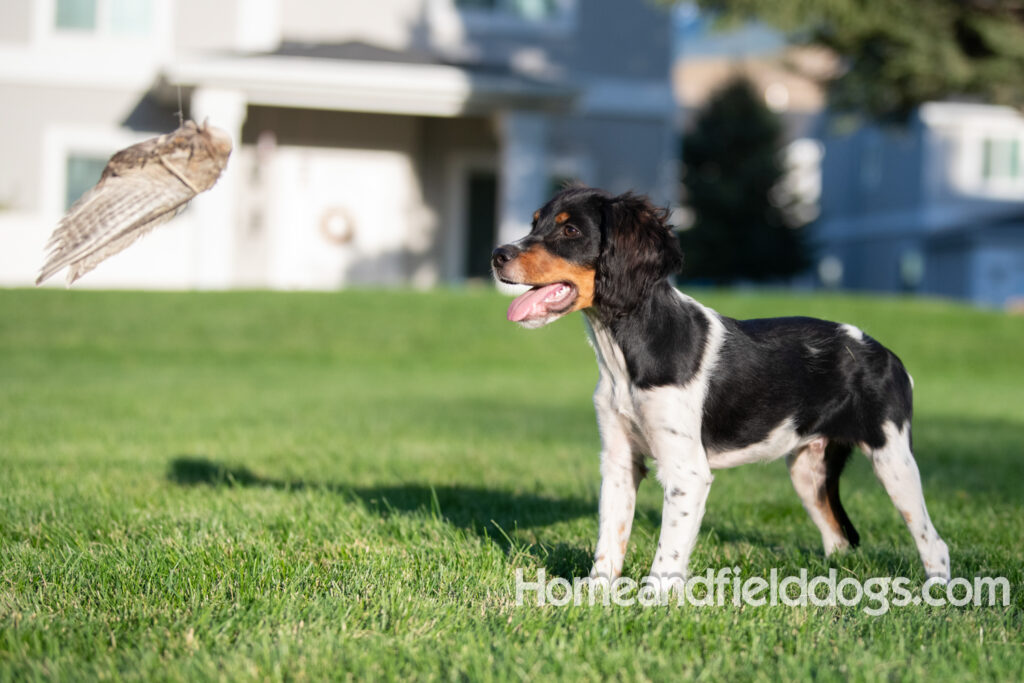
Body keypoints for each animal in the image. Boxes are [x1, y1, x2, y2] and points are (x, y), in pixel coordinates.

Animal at [491, 187, 946, 593]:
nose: (498, 255)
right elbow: (609, 539)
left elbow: (669, 551)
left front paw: (652, 602)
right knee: (839, 538)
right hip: (808, 470)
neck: (625, 354)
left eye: (570, 231)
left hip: (893, 459)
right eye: (534, 223)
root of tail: (888, 355)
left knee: (933, 542)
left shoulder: (687, 472)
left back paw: (938, 593)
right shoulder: (619, 461)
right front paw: (595, 594)